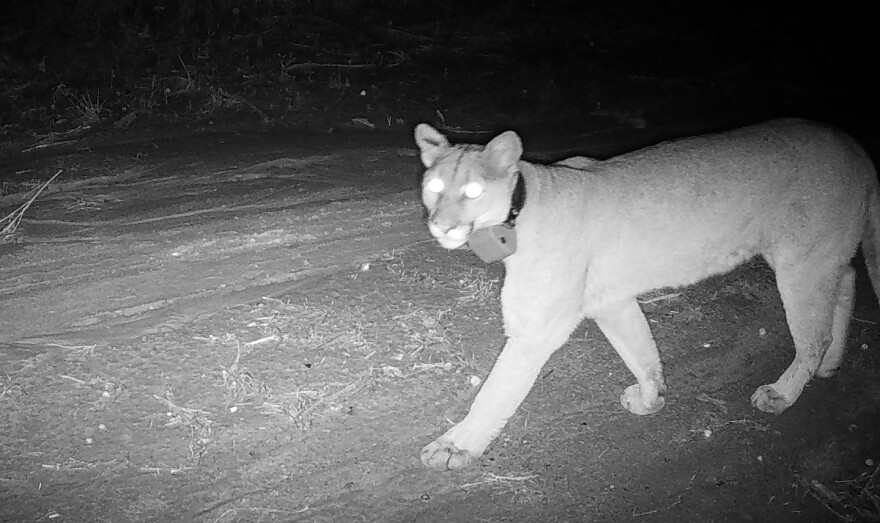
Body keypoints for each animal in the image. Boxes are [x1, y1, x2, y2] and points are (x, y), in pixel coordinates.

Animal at [414, 119, 879, 471]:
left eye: (473, 191)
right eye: (434, 186)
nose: (440, 226)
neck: (520, 207)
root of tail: (854, 146)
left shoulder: (536, 330)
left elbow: (495, 392)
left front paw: (455, 447)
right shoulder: (612, 302)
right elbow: (641, 352)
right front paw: (650, 398)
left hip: (802, 262)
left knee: (814, 334)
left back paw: (784, 392)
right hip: (823, 256)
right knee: (847, 280)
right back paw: (832, 363)